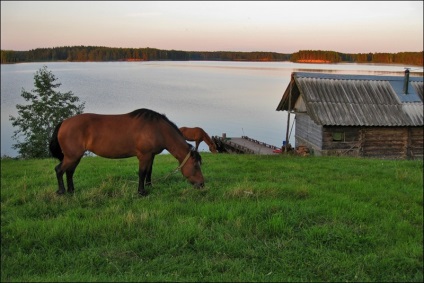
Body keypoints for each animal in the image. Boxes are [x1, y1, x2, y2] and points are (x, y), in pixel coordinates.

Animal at [48, 108, 205, 197]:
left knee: (69, 172)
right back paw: (62, 192)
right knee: (59, 170)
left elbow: (149, 171)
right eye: (195, 166)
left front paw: (149, 186)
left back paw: (71, 190)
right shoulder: (144, 155)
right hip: (72, 156)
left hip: (75, 156)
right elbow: (142, 173)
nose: (202, 184)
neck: (157, 129)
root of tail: (64, 122)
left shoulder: (151, 155)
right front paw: (141, 192)